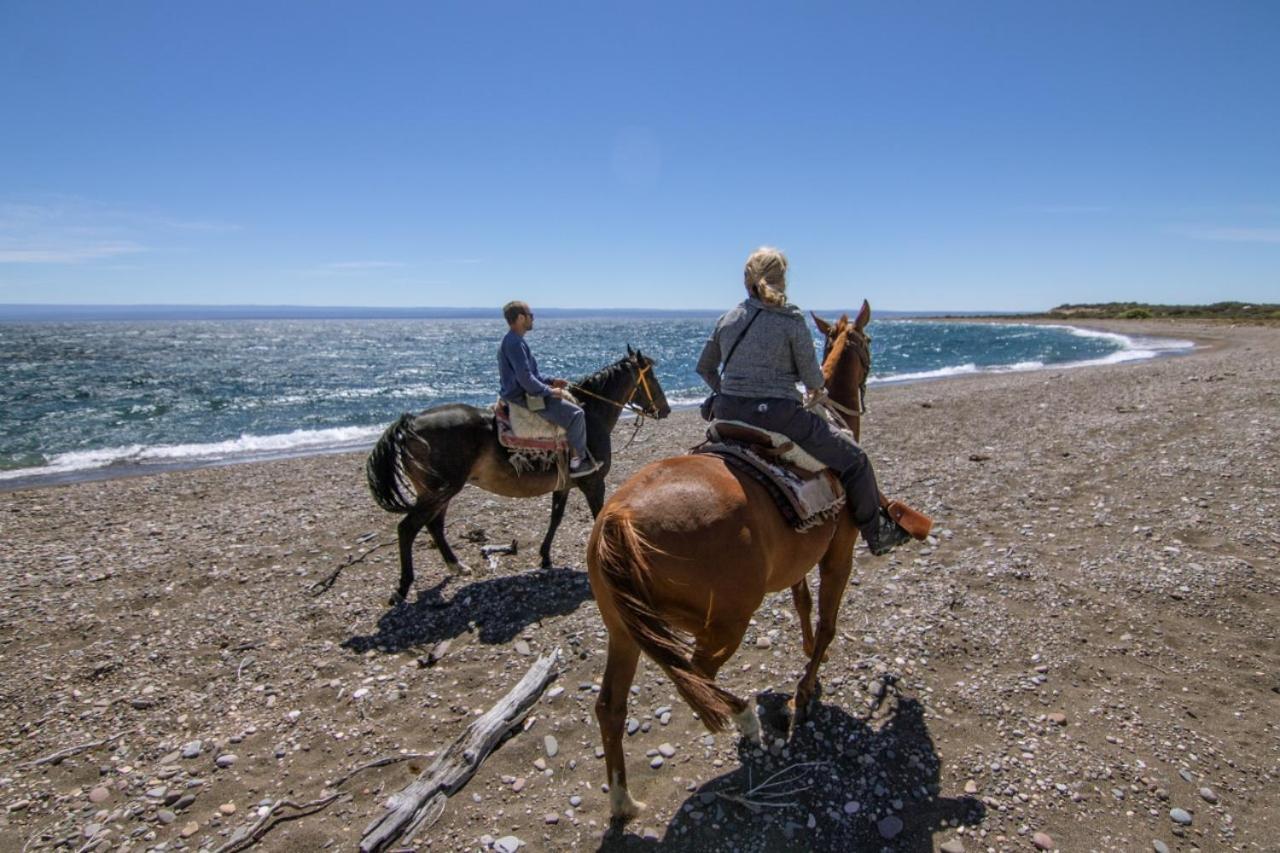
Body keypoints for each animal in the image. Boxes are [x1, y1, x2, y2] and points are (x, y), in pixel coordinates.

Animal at [586, 298, 885, 819]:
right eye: (868, 344)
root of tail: (619, 516)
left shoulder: (795, 562)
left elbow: (803, 605)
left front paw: (807, 660)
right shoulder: (839, 553)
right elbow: (827, 621)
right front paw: (805, 692)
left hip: (624, 628)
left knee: (613, 706)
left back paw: (624, 801)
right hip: (725, 622)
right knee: (694, 673)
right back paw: (745, 718)